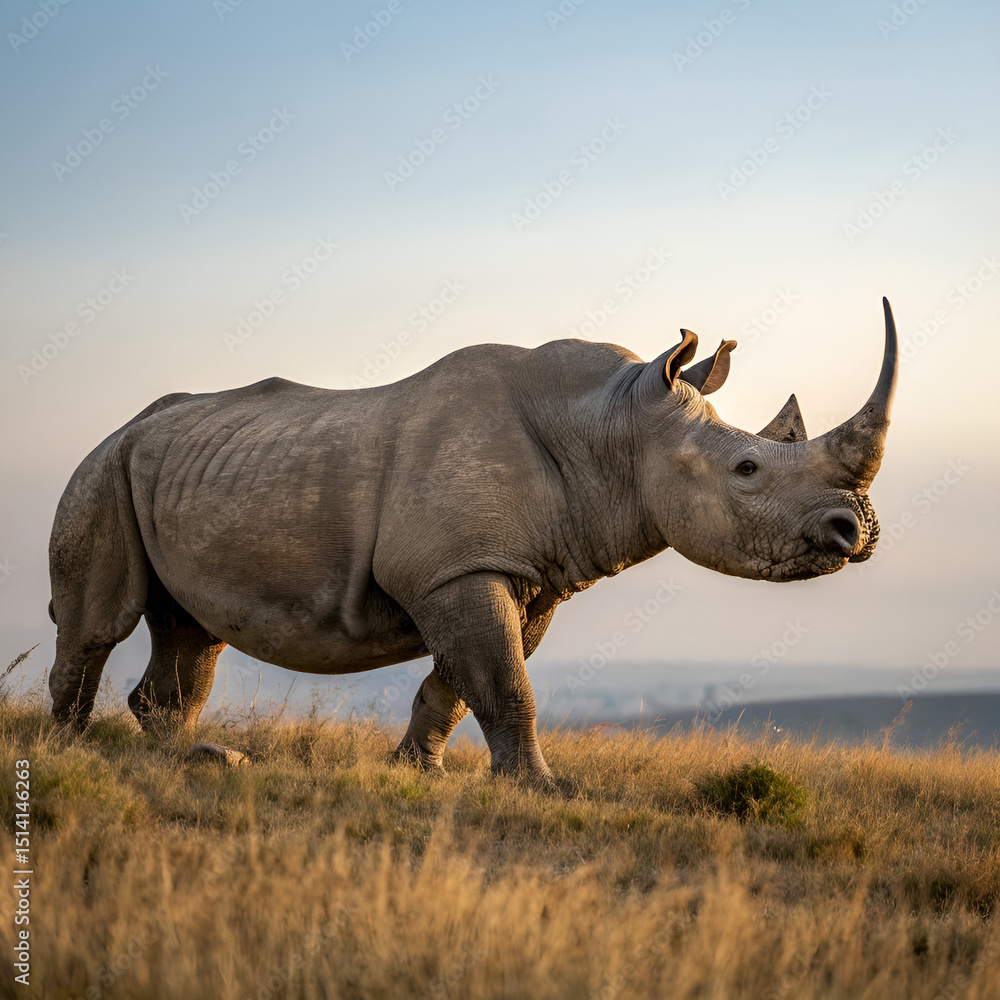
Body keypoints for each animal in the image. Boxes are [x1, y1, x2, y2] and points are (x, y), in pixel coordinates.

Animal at [48, 298, 898, 786]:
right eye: (747, 468)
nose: (855, 532)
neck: (612, 427)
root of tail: (126, 425)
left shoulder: (525, 572)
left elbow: (466, 680)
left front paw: (417, 772)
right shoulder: (458, 571)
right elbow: (503, 680)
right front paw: (543, 790)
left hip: (179, 470)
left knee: (193, 631)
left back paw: (181, 757)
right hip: (103, 467)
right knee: (99, 622)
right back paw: (67, 751)